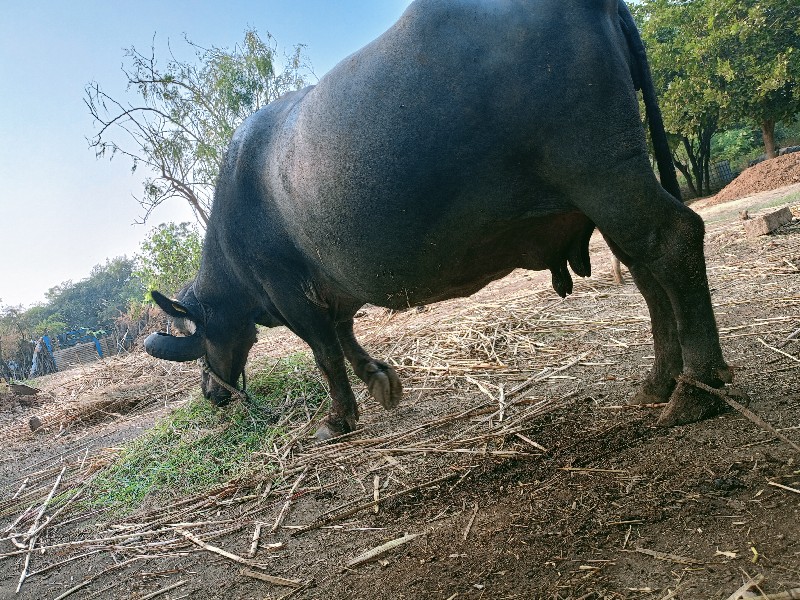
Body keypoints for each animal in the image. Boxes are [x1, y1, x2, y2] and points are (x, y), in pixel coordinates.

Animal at [144, 0, 732, 440]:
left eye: (197, 339)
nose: (212, 392)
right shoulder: (334, 288)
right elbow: (345, 335)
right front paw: (381, 379)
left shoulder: (290, 292)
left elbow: (325, 353)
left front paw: (338, 418)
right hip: (606, 184)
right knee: (643, 266)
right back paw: (659, 381)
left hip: (600, 171)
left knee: (673, 239)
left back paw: (695, 390)